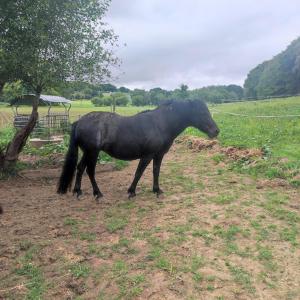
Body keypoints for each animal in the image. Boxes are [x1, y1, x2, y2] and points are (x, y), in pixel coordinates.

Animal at [57, 100, 219, 199]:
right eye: (202, 113)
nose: (216, 131)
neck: (161, 124)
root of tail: (79, 121)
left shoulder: (158, 155)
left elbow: (155, 171)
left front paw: (156, 190)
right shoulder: (147, 155)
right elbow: (139, 172)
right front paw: (131, 192)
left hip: (87, 152)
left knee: (80, 168)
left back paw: (78, 192)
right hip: (93, 152)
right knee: (89, 171)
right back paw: (97, 194)